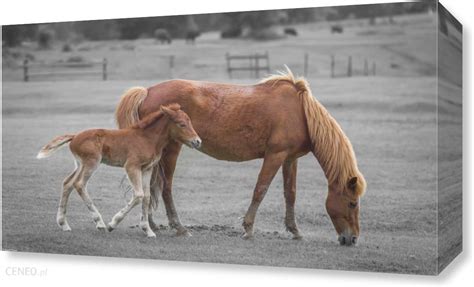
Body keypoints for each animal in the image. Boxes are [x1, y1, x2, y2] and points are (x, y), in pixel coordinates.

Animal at [36, 104, 200, 238]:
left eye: (190, 122)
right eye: (182, 124)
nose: (197, 141)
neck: (147, 138)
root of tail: (74, 136)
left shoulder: (147, 168)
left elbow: (146, 196)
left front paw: (148, 230)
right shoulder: (132, 166)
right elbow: (139, 195)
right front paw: (112, 224)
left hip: (79, 164)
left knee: (67, 183)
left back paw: (64, 224)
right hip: (91, 162)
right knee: (79, 184)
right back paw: (100, 223)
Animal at [115, 67, 366, 245]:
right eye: (352, 203)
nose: (352, 239)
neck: (301, 113)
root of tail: (147, 91)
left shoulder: (289, 159)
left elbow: (290, 194)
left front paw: (295, 231)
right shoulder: (275, 156)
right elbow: (260, 190)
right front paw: (248, 229)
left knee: (152, 187)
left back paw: (151, 224)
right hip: (172, 150)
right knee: (166, 188)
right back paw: (178, 227)